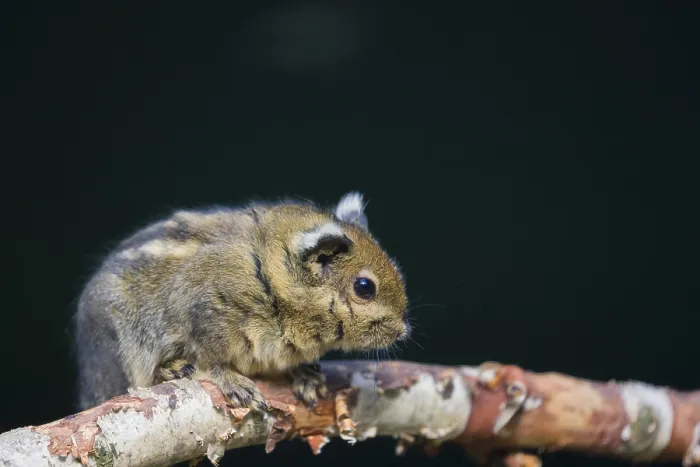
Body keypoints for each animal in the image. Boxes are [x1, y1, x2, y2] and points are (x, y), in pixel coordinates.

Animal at [74, 192, 410, 411]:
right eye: (364, 287)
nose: (402, 331)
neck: (273, 277)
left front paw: (304, 375)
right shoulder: (201, 308)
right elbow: (210, 358)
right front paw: (232, 381)